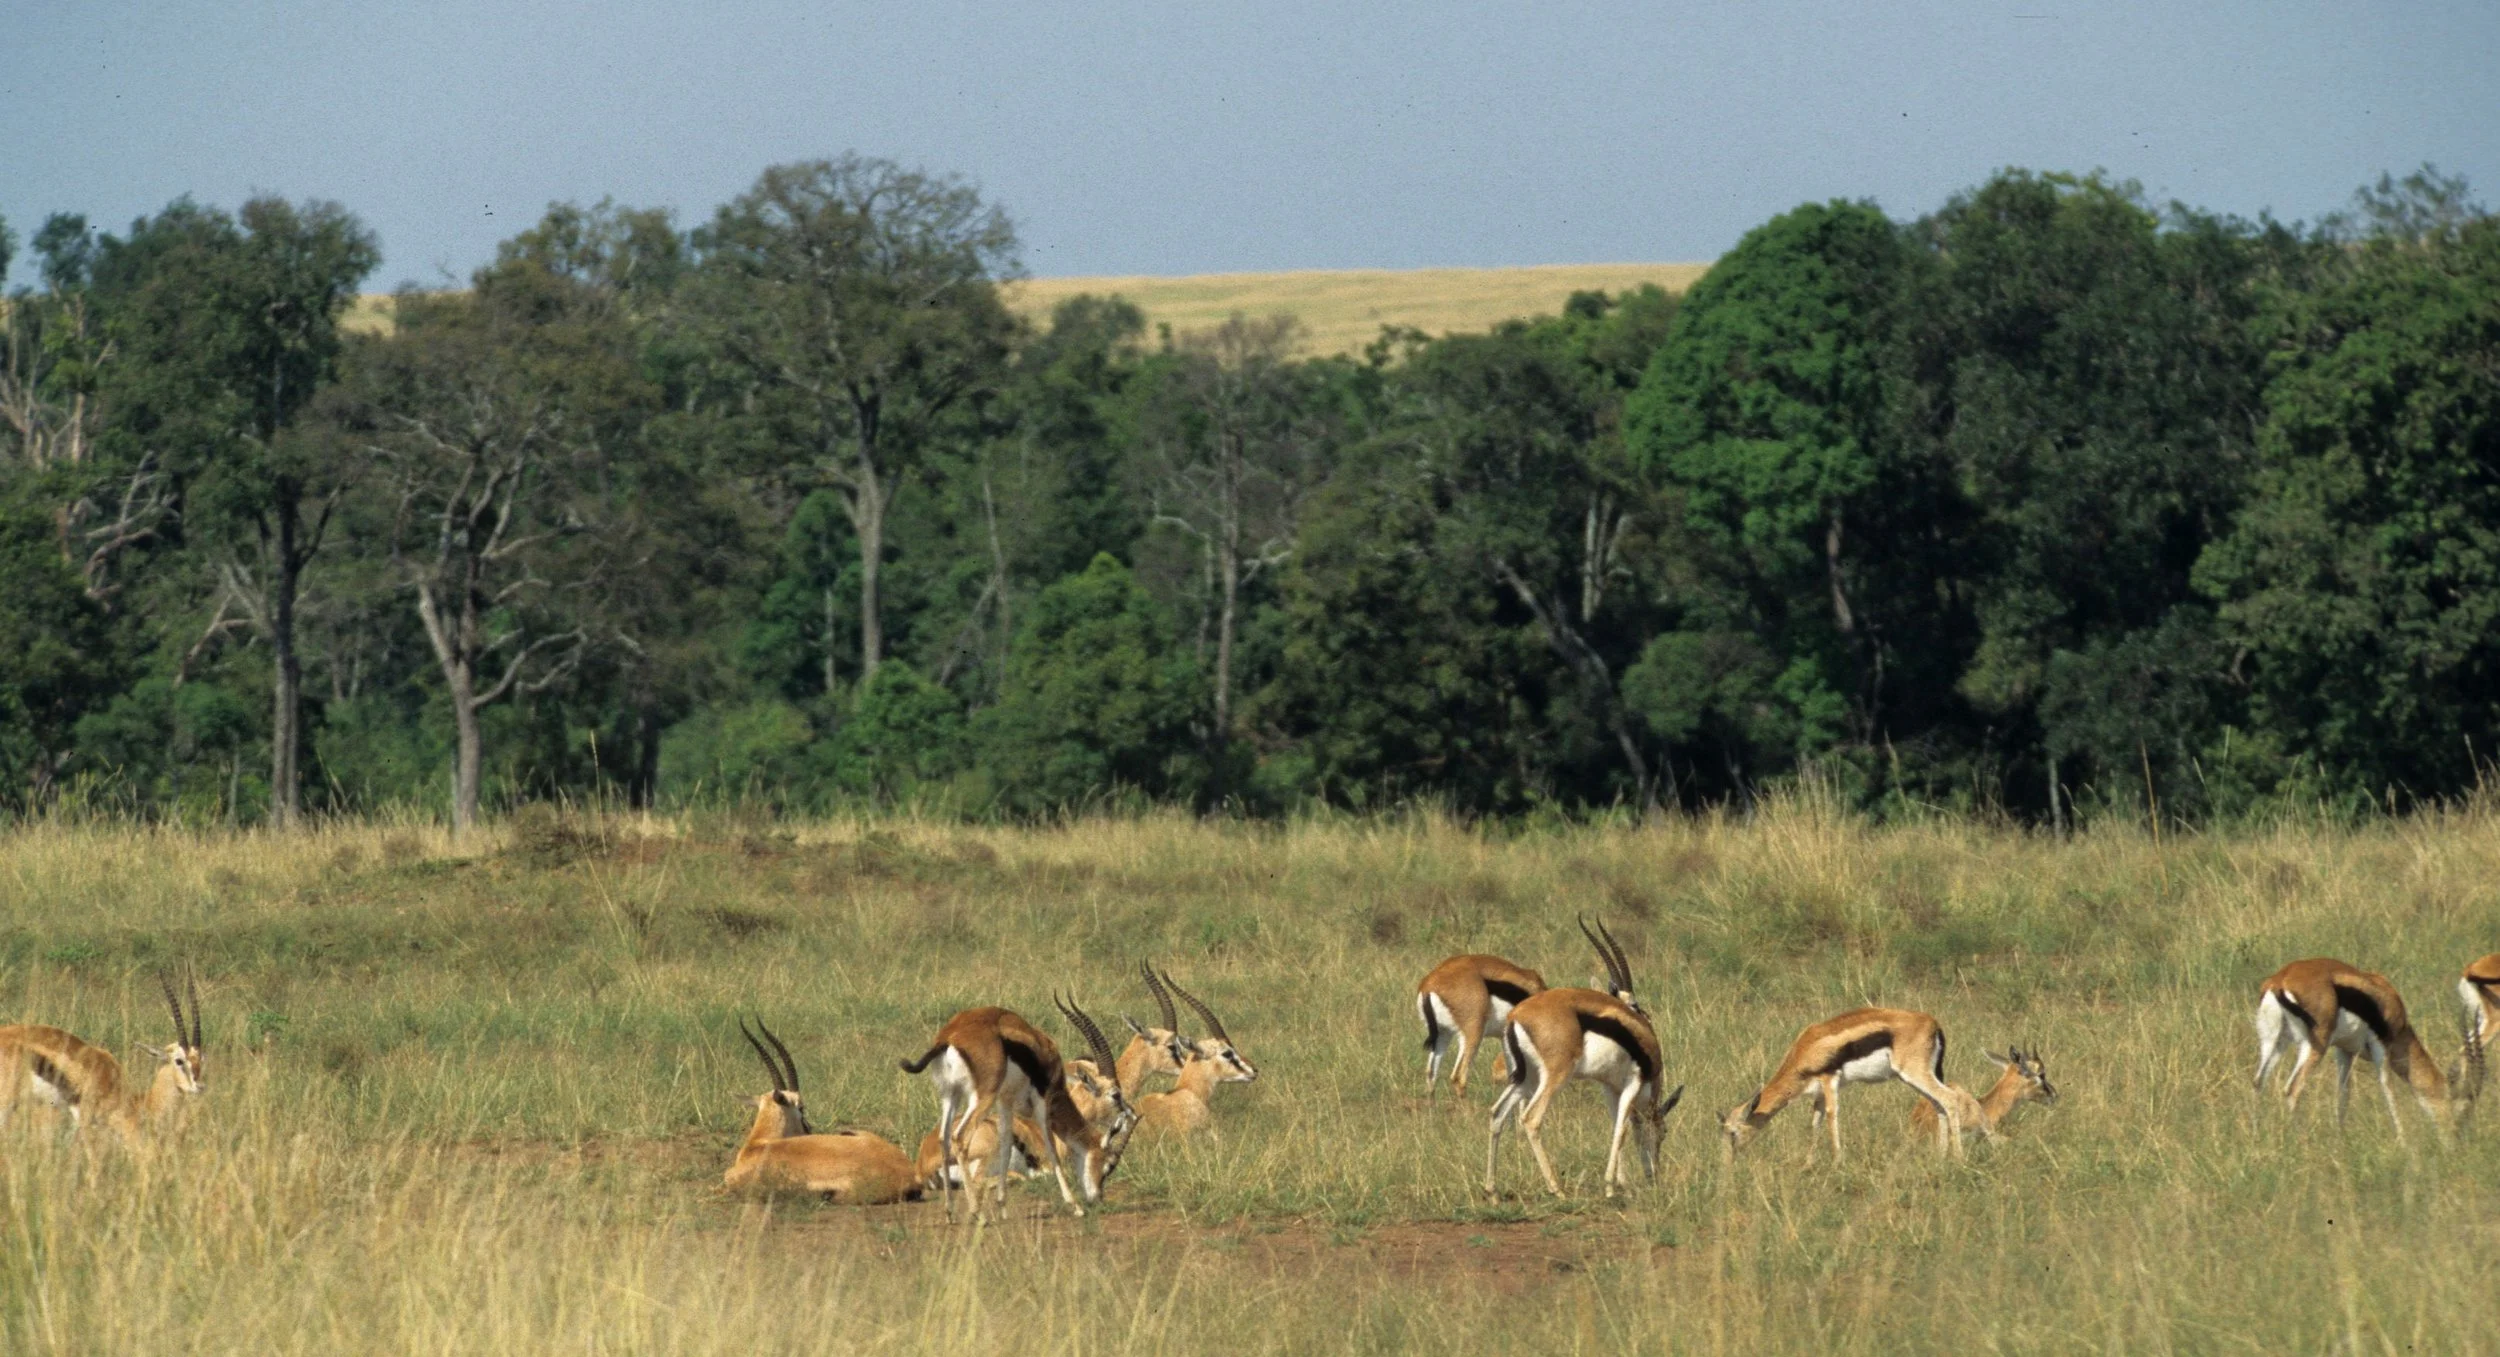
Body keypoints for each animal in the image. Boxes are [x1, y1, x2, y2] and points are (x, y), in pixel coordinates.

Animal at [899, 997, 1132, 1222]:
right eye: (1116, 1095)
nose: (1097, 1198)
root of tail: (949, 1039)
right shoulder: (1041, 1102)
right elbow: (1052, 1149)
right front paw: (1075, 1206)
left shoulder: (1006, 1102)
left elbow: (1005, 1142)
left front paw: (1002, 1206)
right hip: (982, 1097)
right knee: (960, 1137)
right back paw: (977, 1213)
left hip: (950, 1096)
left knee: (944, 1138)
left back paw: (949, 1212)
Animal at [1416, 953, 1547, 1096]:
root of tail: (1429, 984)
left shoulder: (1504, 1038)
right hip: (1473, 1034)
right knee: (1458, 1077)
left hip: (1444, 1034)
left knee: (1431, 1073)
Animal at [1485, 918, 1682, 1198]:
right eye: (1664, 1132)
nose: (1654, 1175)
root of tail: (1515, 1017)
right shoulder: (1632, 1083)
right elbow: (1622, 1130)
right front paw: (1611, 1187)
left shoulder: (1611, 1088)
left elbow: (1617, 1125)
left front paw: (1621, 1183)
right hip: (1553, 1077)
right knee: (1531, 1119)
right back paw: (1557, 1189)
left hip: (1525, 1079)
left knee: (1496, 1113)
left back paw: (1492, 1191)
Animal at [1722, 1007, 1983, 1160]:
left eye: (1733, 1132)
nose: (1731, 1159)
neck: (1804, 1049)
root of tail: (1933, 1023)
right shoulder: (1819, 1092)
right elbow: (1815, 1121)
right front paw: (1808, 1162)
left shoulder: (1829, 1079)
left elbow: (1831, 1115)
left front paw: (1837, 1160)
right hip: (1916, 1078)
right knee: (1939, 1104)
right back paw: (1940, 1156)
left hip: (1915, 1074)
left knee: (1950, 1099)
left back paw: (1958, 1159)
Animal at [2253, 957, 2481, 1139]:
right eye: (2465, 1105)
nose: (2456, 1138)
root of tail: (2280, 980)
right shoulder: (2380, 1046)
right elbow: (2388, 1091)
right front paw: (2404, 1142)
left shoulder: (2344, 1050)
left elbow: (2343, 1095)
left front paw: (2341, 1139)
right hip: (2315, 1045)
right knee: (2292, 1088)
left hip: (2274, 1041)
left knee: (2258, 1082)